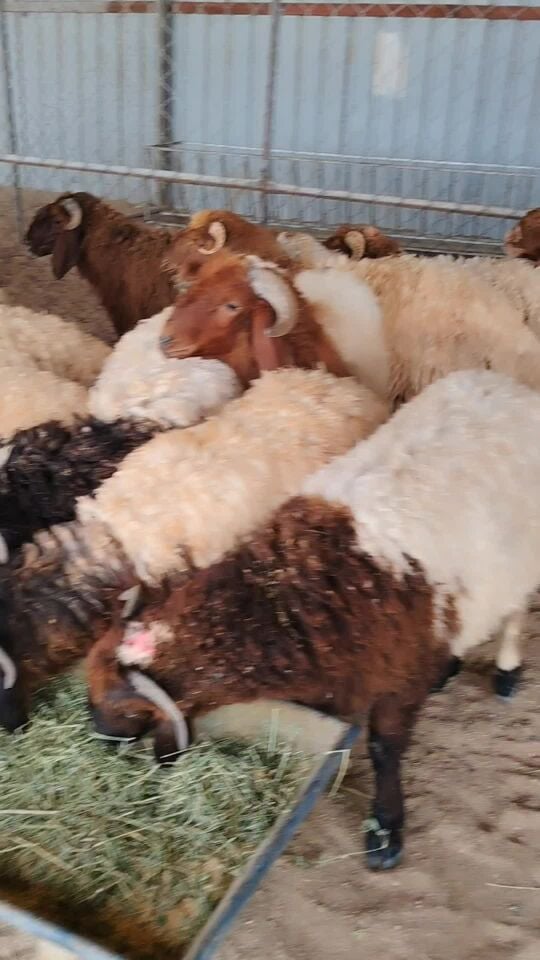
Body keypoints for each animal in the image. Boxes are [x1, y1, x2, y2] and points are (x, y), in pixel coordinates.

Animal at [85, 367, 540, 872]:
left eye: (125, 709)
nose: (100, 742)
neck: (285, 600)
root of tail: (500, 382)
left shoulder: (395, 683)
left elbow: (384, 750)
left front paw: (385, 831)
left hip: (523, 557)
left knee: (516, 611)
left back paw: (506, 670)